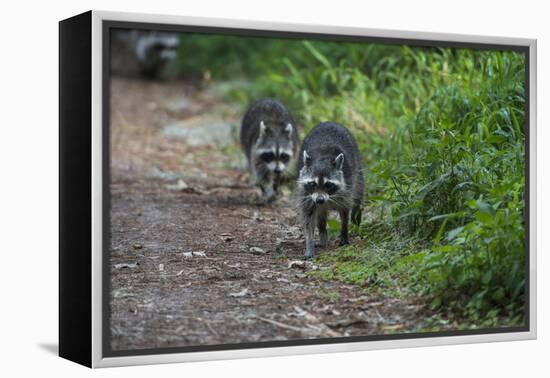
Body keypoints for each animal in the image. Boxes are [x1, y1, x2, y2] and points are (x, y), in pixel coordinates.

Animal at [298, 122, 366, 258]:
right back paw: (323, 234)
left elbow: (344, 211)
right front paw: (309, 243)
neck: (322, 158)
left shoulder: (347, 186)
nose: (320, 200)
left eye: (328, 184)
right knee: (321, 214)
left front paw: (344, 232)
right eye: (312, 184)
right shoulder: (307, 195)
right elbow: (308, 218)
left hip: (357, 168)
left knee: (358, 192)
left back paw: (356, 210)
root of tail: (327, 122)